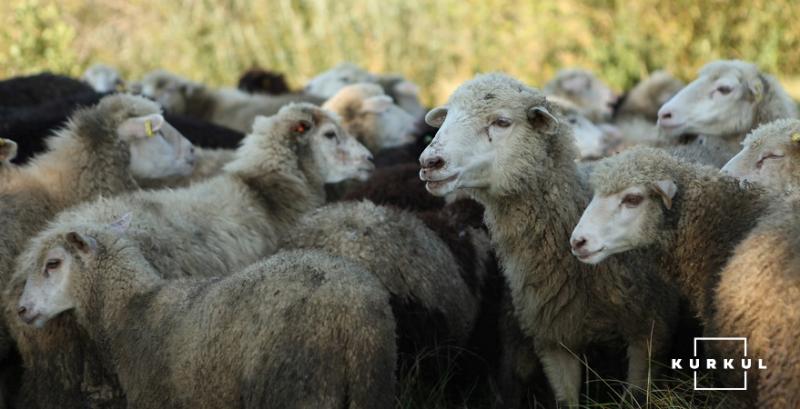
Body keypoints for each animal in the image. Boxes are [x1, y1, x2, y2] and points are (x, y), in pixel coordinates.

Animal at [416, 74, 680, 404]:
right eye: (447, 116)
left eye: (501, 122)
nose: (430, 162)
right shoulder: (553, 339)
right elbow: (566, 399)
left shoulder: (649, 330)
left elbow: (636, 395)